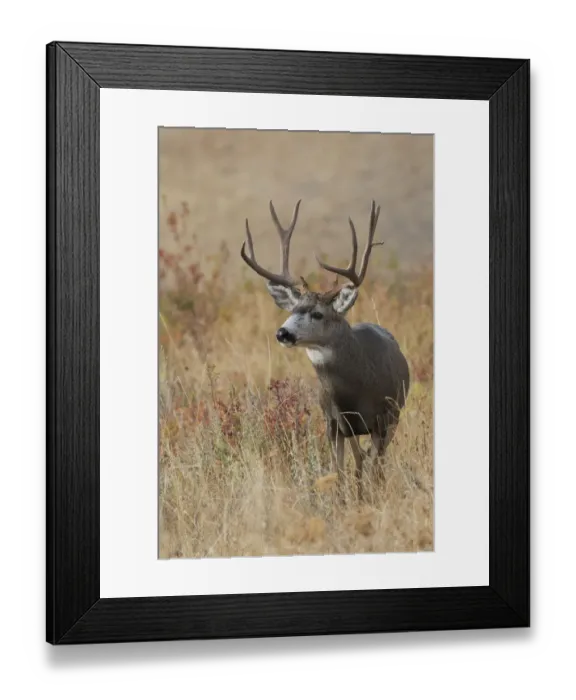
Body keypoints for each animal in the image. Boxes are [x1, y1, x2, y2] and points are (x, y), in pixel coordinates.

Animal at [240, 199, 410, 501]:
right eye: (293, 310)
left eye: (318, 314)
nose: (282, 333)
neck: (355, 393)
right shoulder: (333, 422)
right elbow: (339, 471)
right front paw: (344, 501)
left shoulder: (383, 417)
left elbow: (372, 466)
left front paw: (370, 498)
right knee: (359, 460)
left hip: (394, 415)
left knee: (375, 462)